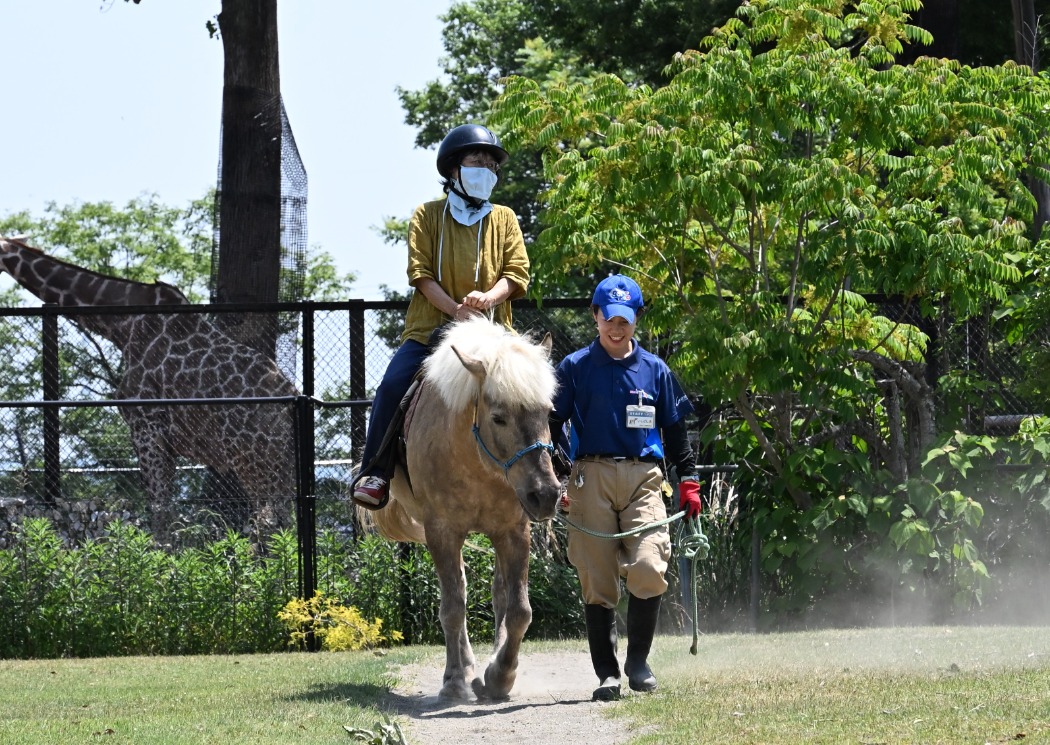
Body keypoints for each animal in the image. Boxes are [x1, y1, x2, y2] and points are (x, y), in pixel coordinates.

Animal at [364, 317, 563, 701]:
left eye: (547, 412)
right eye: (498, 418)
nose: (545, 494)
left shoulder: (513, 531)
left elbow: (518, 610)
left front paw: (499, 677)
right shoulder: (442, 532)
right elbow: (453, 608)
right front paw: (456, 681)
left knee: (498, 595)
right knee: (458, 593)